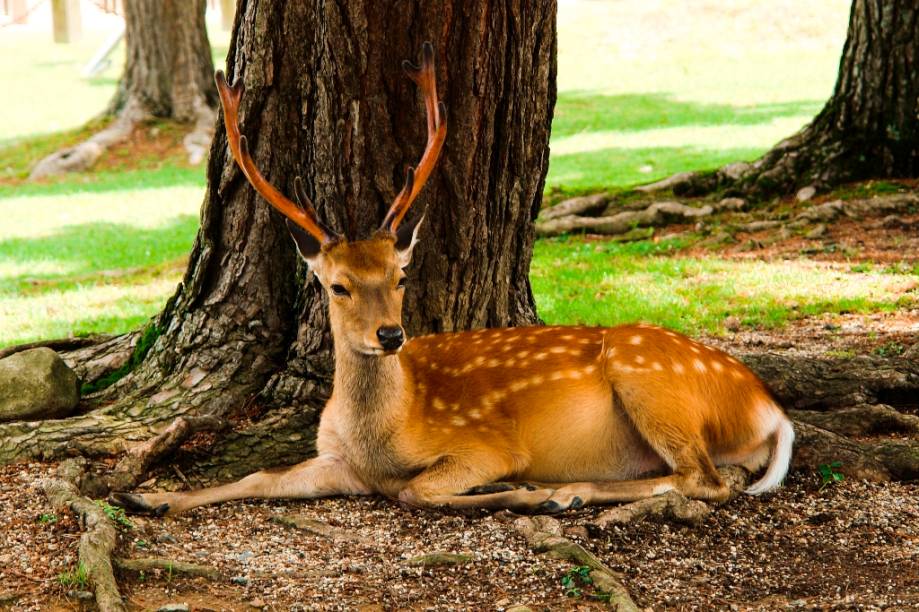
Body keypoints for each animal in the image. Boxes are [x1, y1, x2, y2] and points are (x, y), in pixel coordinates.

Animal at [113, 43, 792, 520]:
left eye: (401, 275)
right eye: (338, 285)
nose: (390, 335)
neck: (381, 437)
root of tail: (770, 410)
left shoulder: (482, 444)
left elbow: (417, 490)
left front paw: (521, 492)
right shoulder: (337, 461)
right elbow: (259, 478)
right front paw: (145, 497)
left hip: (650, 378)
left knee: (705, 479)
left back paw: (566, 490)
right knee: (715, 477)